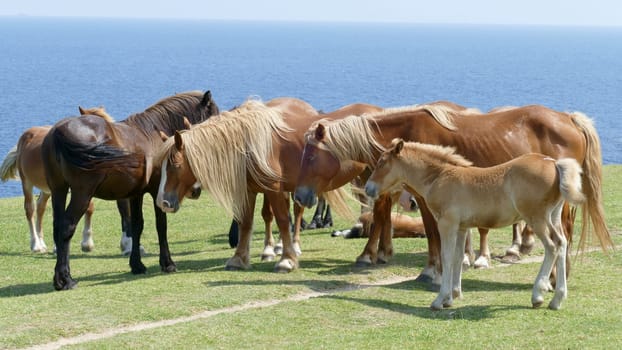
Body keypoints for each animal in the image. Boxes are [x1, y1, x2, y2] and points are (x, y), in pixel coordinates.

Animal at [42, 90, 222, 290]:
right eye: (213, 114)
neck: (154, 135)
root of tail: (58, 133)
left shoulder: (136, 194)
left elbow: (137, 225)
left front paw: (137, 264)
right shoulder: (158, 191)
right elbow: (161, 225)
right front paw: (167, 263)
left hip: (59, 190)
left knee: (57, 227)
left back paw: (59, 278)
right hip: (82, 194)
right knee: (67, 226)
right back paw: (65, 279)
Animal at [156, 98, 382, 274]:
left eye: (176, 165)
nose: (163, 202)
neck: (248, 144)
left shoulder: (273, 189)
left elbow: (281, 220)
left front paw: (287, 260)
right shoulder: (249, 190)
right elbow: (246, 222)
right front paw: (239, 258)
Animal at [294, 102, 612, 286]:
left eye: (310, 156)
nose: (300, 195)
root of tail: (570, 119)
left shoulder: (425, 199)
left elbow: (433, 233)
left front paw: (433, 272)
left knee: (564, 233)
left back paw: (556, 277)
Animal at [366, 139, 616, 308]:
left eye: (381, 163)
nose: (369, 188)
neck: (441, 177)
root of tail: (553, 163)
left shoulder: (447, 224)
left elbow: (446, 258)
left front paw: (439, 299)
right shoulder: (461, 227)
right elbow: (458, 258)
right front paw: (453, 296)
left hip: (536, 218)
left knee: (553, 246)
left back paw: (538, 296)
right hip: (552, 216)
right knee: (562, 243)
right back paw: (557, 299)